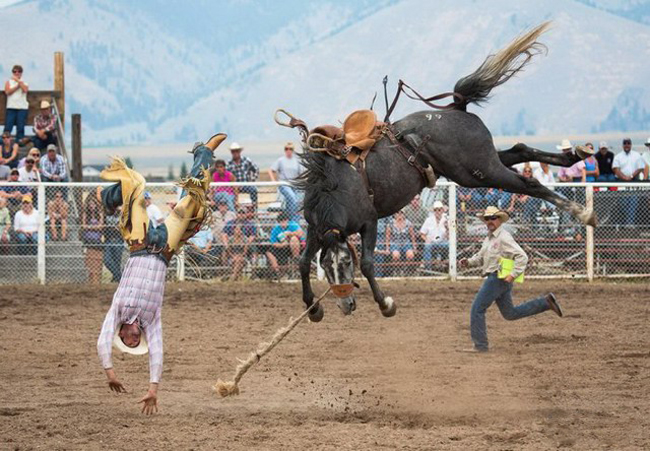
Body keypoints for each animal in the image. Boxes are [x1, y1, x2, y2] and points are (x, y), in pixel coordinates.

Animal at [276, 23, 596, 324]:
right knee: (520, 150)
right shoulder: (315, 227)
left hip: (479, 172)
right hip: (479, 164)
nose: (345, 305)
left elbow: (366, 263)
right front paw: (314, 308)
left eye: (344, 263)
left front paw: (385, 304)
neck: (336, 188)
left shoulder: (369, 221)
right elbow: (303, 262)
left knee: (527, 181)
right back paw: (574, 155)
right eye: (326, 267)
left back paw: (582, 212)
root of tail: (456, 107)